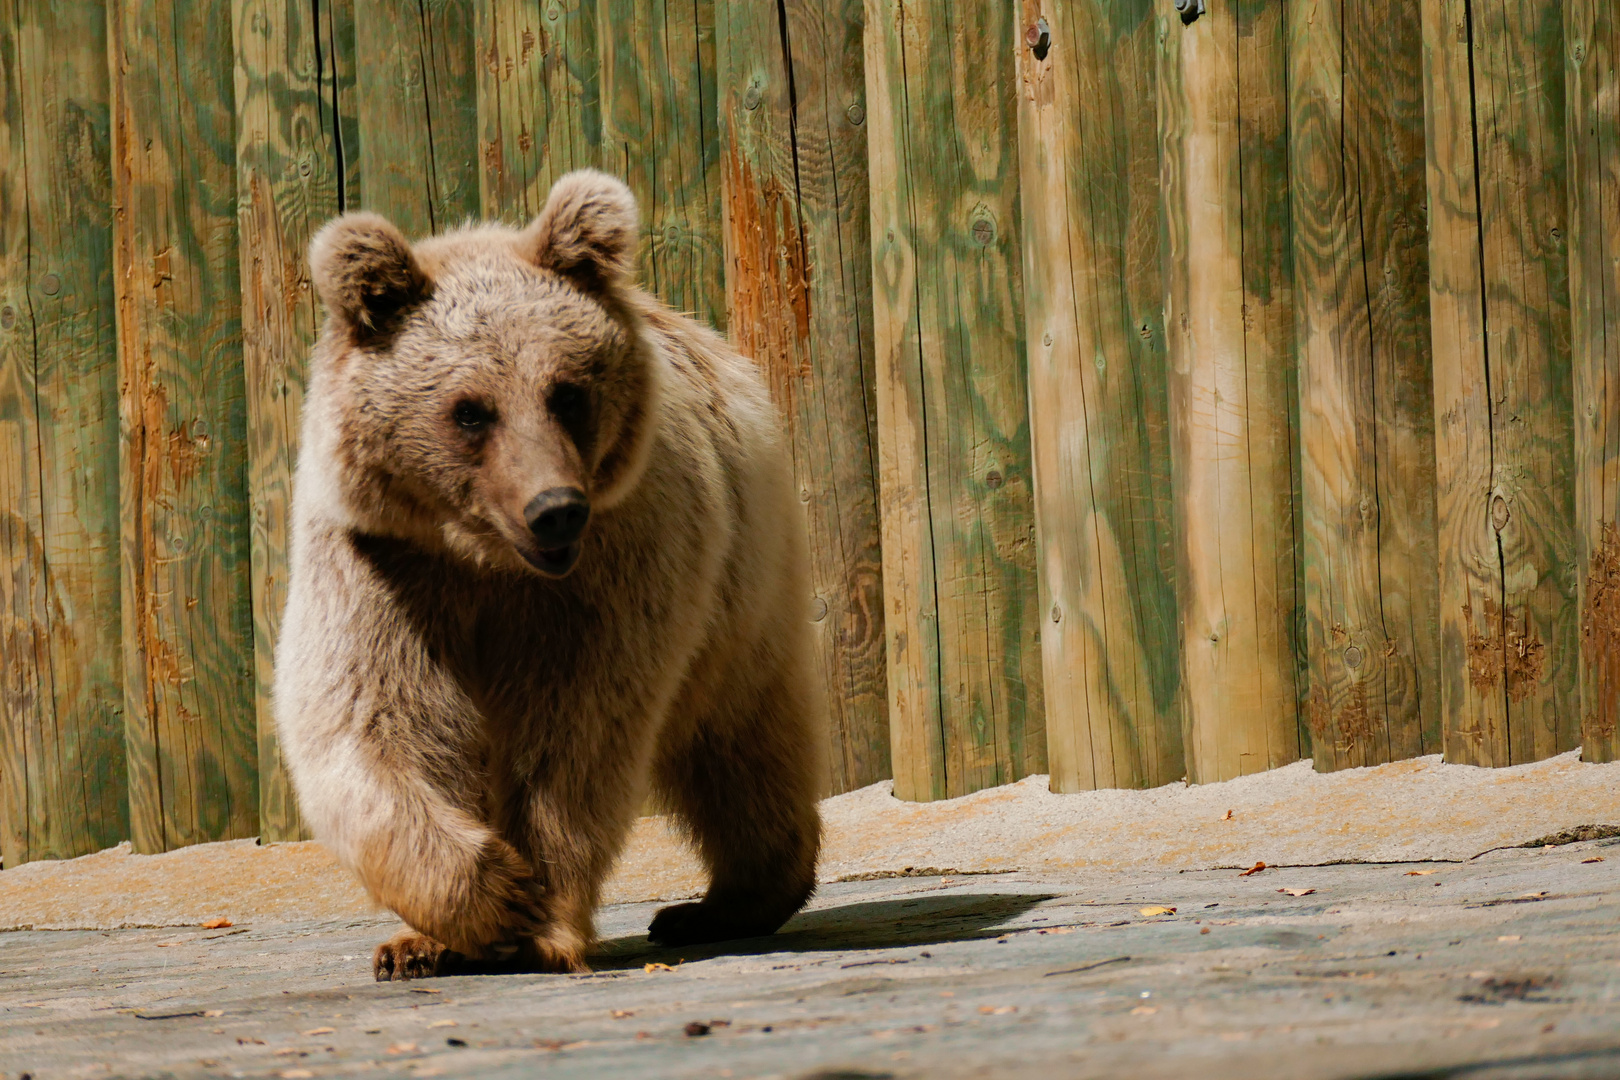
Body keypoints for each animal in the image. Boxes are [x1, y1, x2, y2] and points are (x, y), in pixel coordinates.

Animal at [272, 169, 822, 977]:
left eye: (567, 391)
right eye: (471, 411)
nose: (555, 510)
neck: (483, 559)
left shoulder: (612, 568)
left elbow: (573, 735)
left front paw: (540, 914)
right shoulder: (383, 567)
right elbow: (373, 719)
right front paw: (474, 904)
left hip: (741, 586)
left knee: (739, 741)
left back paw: (723, 902)